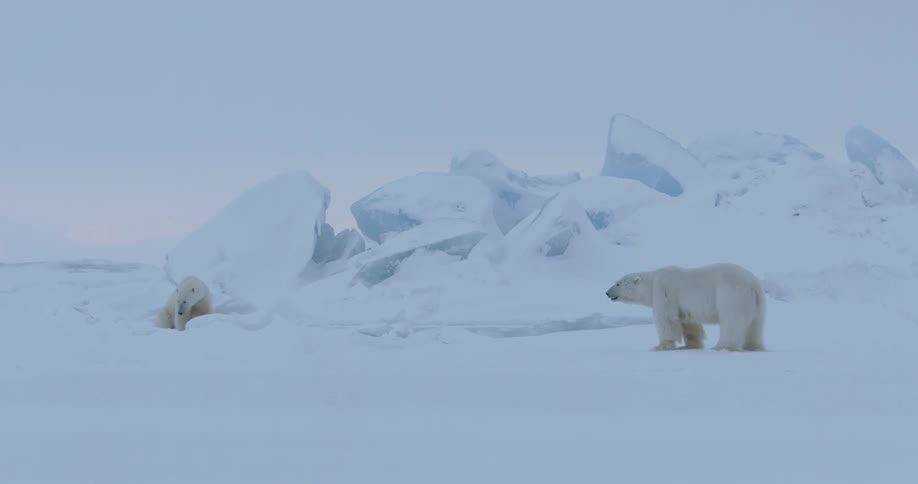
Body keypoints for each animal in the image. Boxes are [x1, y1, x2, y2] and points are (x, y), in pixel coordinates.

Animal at [605, 263, 766, 352]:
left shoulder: (664, 290)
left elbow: (666, 318)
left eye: (617, 283)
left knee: (732, 321)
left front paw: (660, 346)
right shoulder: (683, 305)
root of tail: (753, 284)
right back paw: (753, 347)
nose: (607, 293)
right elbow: (688, 322)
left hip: (731, 294)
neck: (652, 280)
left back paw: (722, 346)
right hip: (757, 303)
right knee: (754, 325)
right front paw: (691, 345)